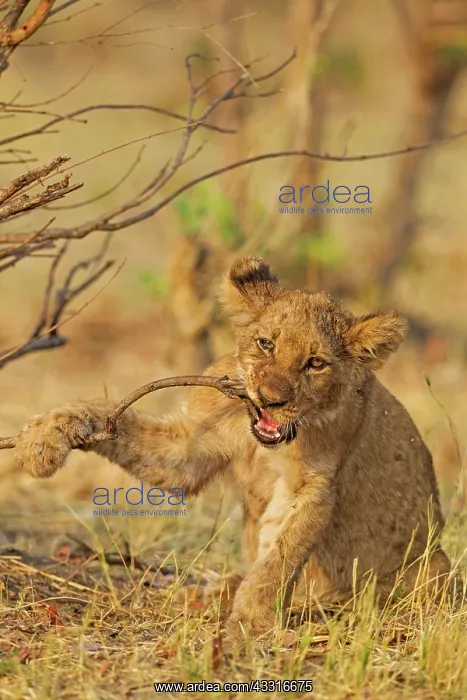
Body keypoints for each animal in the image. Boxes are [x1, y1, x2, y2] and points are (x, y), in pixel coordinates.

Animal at [14, 256, 451, 647]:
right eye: (265, 344)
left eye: (315, 363)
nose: (271, 399)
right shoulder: (190, 446)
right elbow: (109, 417)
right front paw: (45, 436)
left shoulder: (313, 487)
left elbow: (279, 557)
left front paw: (252, 622)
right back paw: (202, 593)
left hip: (432, 567)